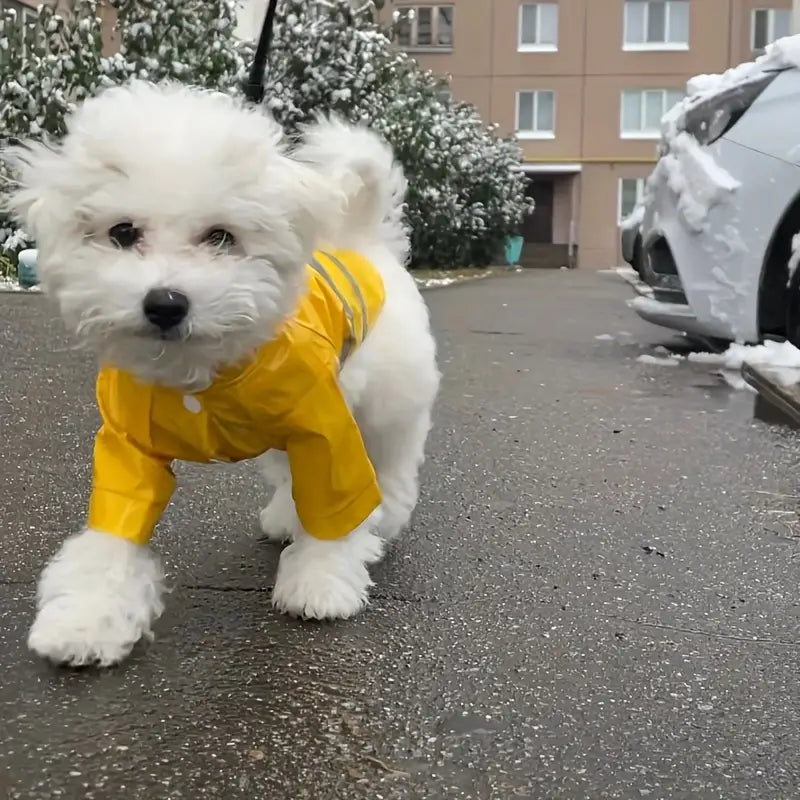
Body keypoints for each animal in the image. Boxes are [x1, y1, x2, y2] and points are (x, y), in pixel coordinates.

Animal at [6, 81, 438, 668]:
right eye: (123, 232)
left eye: (221, 236)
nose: (165, 303)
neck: (200, 373)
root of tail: (363, 239)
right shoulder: (128, 448)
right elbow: (112, 531)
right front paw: (85, 618)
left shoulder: (324, 427)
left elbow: (336, 503)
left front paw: (321, 581)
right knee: (290, 472)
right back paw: (285, 516)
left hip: (389, 400)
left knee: (389, 463)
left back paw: (382, 518)